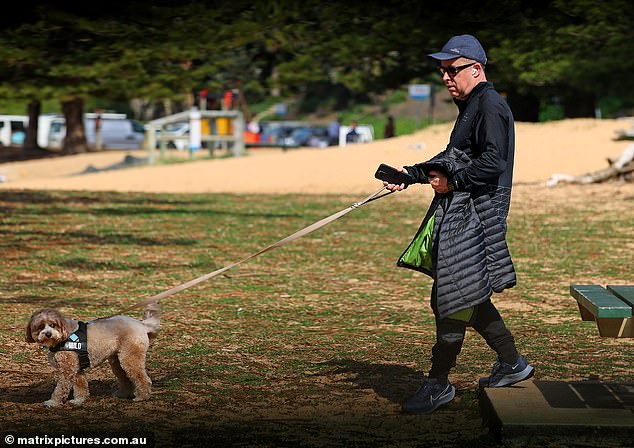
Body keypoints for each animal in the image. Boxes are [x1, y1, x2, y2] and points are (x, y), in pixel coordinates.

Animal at [26, 302, 160, 408]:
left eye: (53, 325)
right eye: (40, 327)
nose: (48, 334)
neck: (63, 337)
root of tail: (142, 325)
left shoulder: (67, 370)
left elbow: (60, 389)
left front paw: (53, 402)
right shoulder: (76, 369)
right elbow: (80, 386)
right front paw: (78, 400)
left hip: (129, 358)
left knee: (143, 379)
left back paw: (142, 397)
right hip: (117, 362)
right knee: (126, 378)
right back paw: (123, 394)